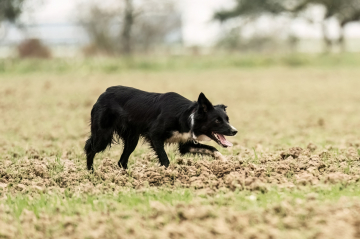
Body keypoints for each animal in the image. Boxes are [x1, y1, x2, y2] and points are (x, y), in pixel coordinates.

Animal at [83, 86, 236, 170]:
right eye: (217, 121)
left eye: (227, 119)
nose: (235, 131)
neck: (186, 116)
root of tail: (104, 93)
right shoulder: (154, 135)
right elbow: (165, 159)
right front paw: (167, 175)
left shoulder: (186, 144)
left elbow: (212, 149)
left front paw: (226, 163)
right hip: (103, 135)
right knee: (90, 150)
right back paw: (91, 174)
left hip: (132, 140)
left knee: (122, 161)